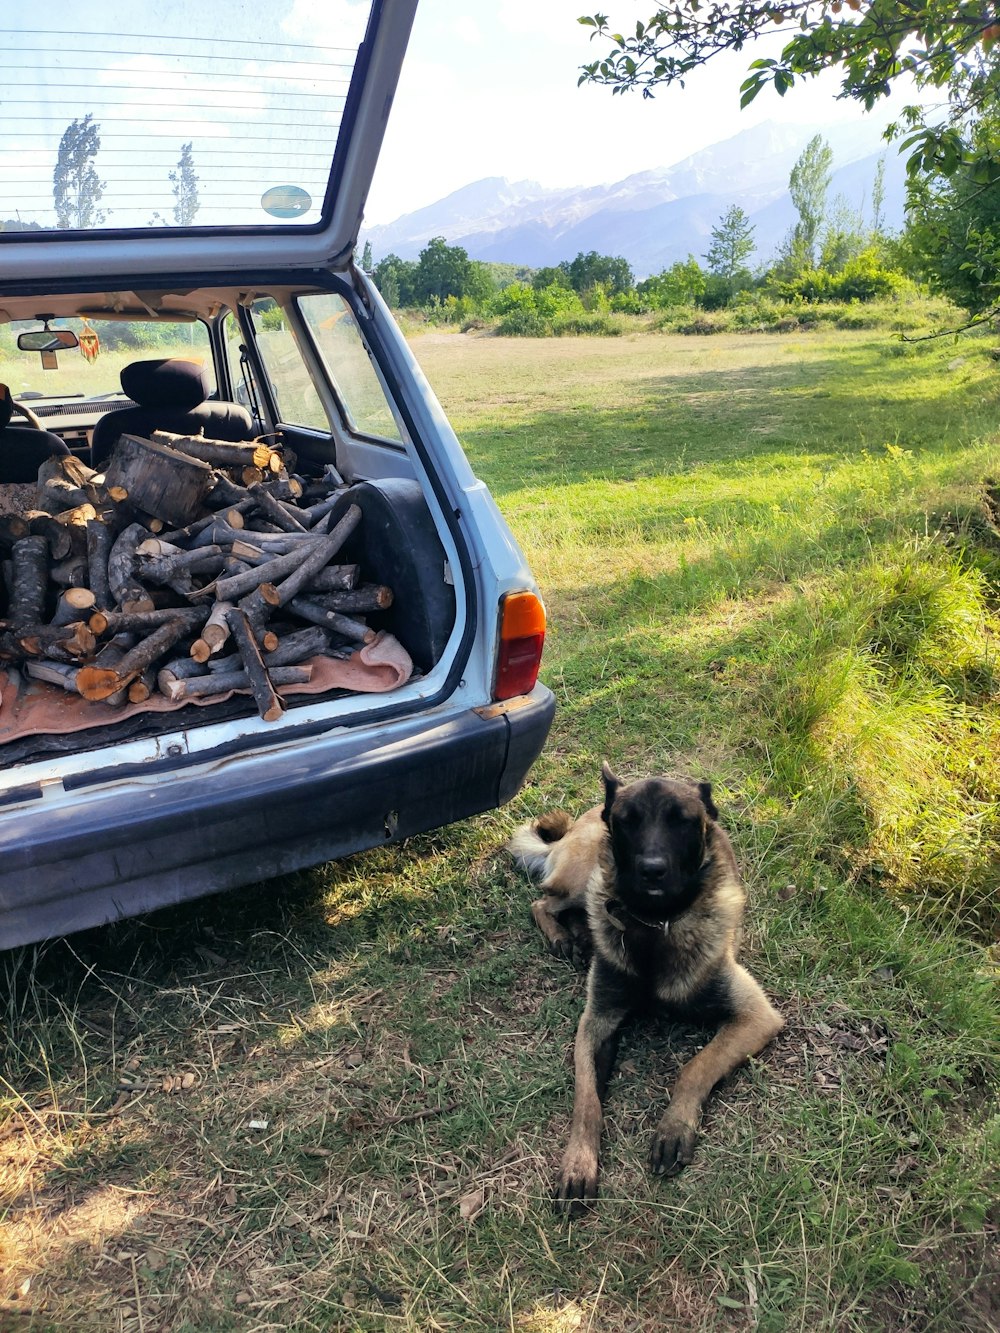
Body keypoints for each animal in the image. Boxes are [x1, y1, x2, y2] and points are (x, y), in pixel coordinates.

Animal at [512, 767, 789, 1215]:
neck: (655, 926)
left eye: (682, 821)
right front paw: (578, 1163)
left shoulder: (755, 1017)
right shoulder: (595, 1025)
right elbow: (587, 1101)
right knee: (542, 902)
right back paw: (564, 936)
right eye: (628, 820)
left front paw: (675, 1127)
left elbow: (695, 1067)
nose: (652, 870)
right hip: (584, 879)